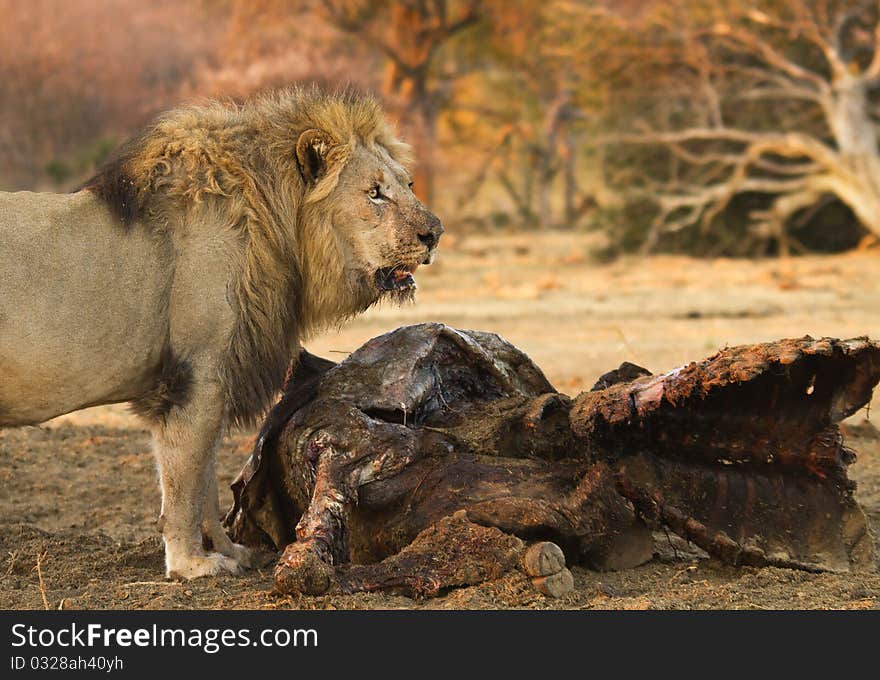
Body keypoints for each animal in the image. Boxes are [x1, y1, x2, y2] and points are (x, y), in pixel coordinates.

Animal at [0, 87, 444, 580]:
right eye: (375, 193)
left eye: (409, 184)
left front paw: (230, 551)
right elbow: (183, 485)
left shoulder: (216, 380)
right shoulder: (196, 377)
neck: (274, 224)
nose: (435, 233)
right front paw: (191, 565)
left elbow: (205, 483)